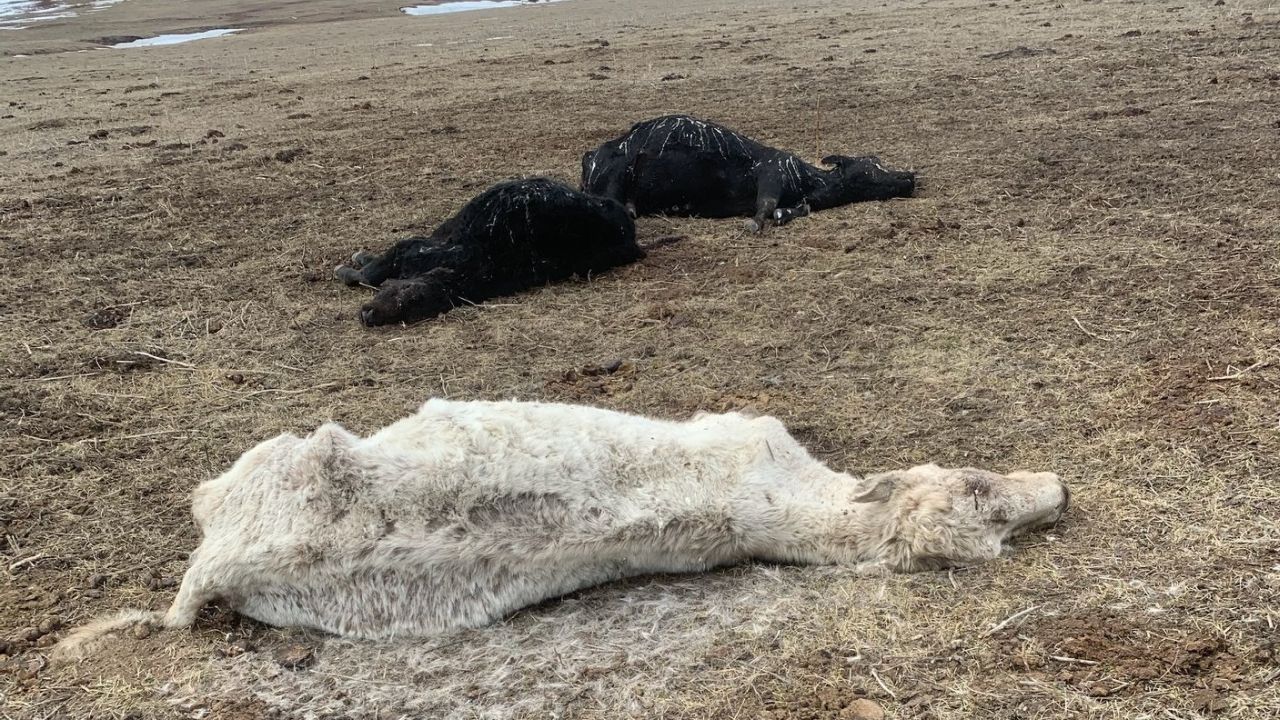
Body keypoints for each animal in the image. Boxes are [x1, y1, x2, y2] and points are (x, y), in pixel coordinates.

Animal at [580, 114, 917, 232]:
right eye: (871, 166)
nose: (910, 177)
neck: (809, 180)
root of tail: (591, 156)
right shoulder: (772, 174)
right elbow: (764, 207)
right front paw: (755, 224)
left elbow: (793, 210)